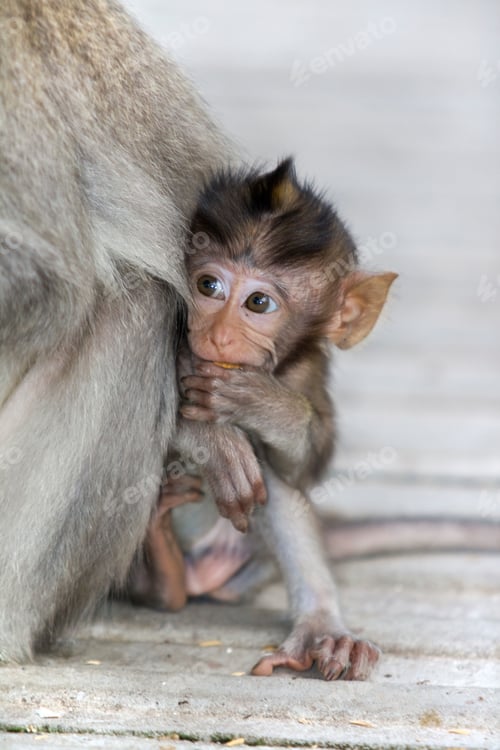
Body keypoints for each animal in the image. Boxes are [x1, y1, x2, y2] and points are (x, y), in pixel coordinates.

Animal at [127, 158, 398, 679]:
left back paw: (320, 628)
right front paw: (212, 438)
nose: (218, 334)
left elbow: (303, 467)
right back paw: (160, 573)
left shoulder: (305, 370)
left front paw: (259, 403)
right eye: (208, 286)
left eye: (258, 303)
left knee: (272, 475)